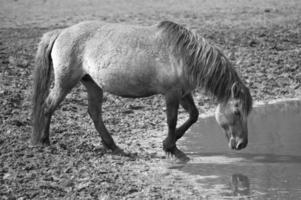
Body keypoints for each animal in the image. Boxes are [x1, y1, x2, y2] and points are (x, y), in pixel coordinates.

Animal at [31, 20, 251, 161]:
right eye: (237, 111)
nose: (242, 144)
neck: (183, 55)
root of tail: (61, 32)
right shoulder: (171, 94)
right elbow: (171, 120)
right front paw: (173, 149)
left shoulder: (183, 93)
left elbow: (194, 115)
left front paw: (169, 143)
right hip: (65, 82)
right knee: (48, 106)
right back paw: (44, 140)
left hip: (93, 84)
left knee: (94, 113)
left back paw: (112, 145)